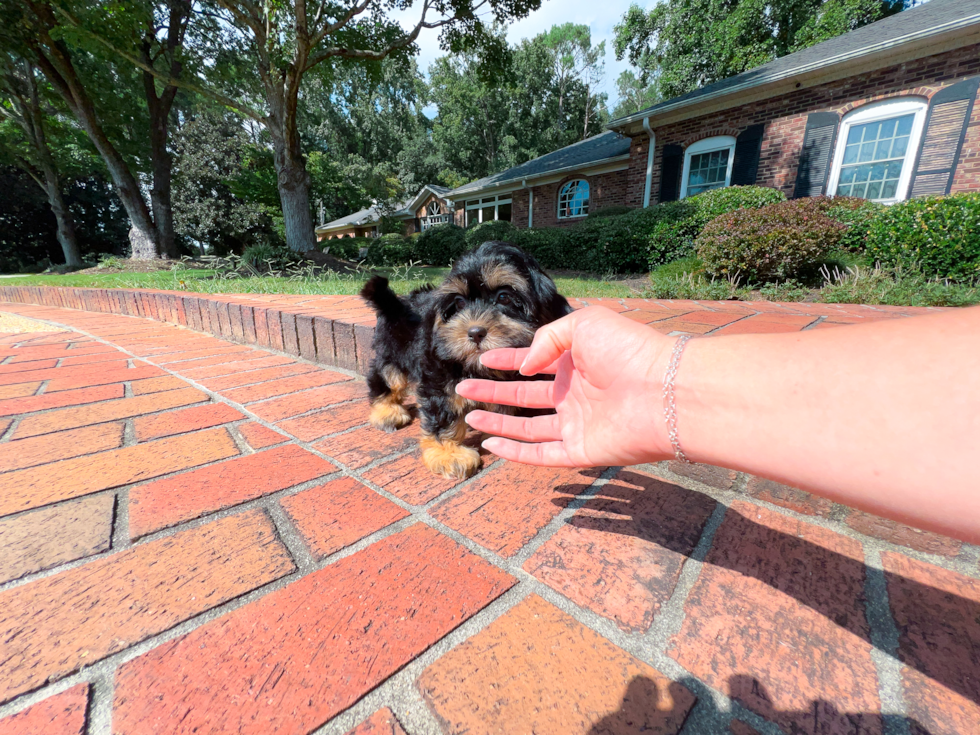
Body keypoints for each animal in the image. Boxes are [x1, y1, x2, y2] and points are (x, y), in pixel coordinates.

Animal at [364, 243, 572, 484]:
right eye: (460, 302)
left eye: (504, 297)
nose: (474, 332)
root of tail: (397, 302)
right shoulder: (439, 372)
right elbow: (443, 411)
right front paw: (448, 453)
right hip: (393, 351)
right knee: (385, 377)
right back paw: (386, 411)